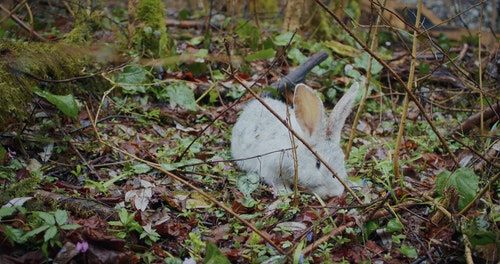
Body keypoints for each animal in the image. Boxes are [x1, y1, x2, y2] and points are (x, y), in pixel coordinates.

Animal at [231, 82, 360, 198]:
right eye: (318, 164)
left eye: (342, 160)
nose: (334, 193)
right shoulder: (271, 167)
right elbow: (275, 180)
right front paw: (285, 192)